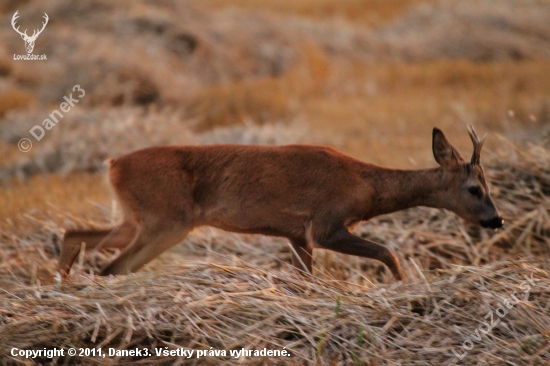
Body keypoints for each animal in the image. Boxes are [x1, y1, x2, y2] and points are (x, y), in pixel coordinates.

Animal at [59, 126, 504, 280]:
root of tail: (113, 164)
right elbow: (388, 252)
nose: (496, 220)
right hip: (166, 220)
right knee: (112, 267)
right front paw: (404, 286)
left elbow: (308, 279)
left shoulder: (297, 234)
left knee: (75, 234)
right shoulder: (324, 224)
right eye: (474, 189)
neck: (364, 187)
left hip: (137, 218)